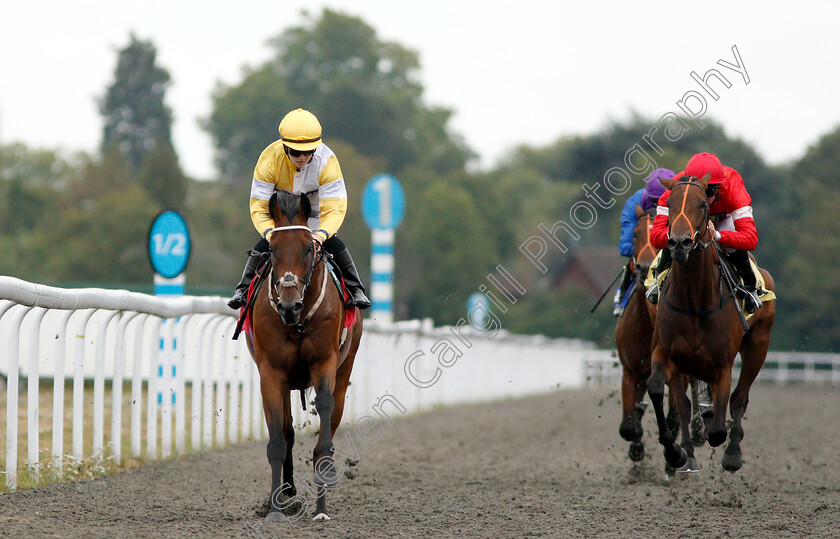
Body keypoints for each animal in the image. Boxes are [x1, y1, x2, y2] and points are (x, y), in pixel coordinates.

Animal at [243, 191, 360, 524]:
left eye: (309, 248)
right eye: (272, 249)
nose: (288, 305)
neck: (298, 321)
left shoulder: (325, 363)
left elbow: (324, 424)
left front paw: (321, 507)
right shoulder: (271, 372)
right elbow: (278, 441)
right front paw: (274, 509)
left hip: (345, 370)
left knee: (332, 414)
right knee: (287, 430)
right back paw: (287, 493)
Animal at [648, 176, 776, 472]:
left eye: (702, 205)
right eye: (670, 203)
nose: (679, 243)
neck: (694, 299)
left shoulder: (722, 365)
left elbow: (720, 424)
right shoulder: (665, 352)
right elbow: (658, 389)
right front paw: (676, 453)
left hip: (758, 346)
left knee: (739, 399)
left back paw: (732, 452)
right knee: (687, 404)